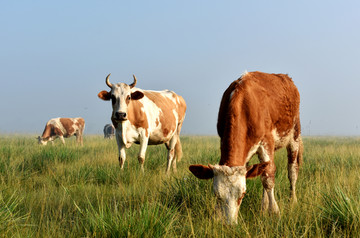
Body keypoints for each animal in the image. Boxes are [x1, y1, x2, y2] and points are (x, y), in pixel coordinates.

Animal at [190, 71, 302, 225]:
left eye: (242, 194)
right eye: (217, 195)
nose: (229, 224)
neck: (244, 106)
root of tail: (284, 76)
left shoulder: (267, 142)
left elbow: (269, 179)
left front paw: (275, 212)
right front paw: (217, 216)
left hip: (294, 134)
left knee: (292, 171)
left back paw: (293, 201)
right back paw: (263, 207)